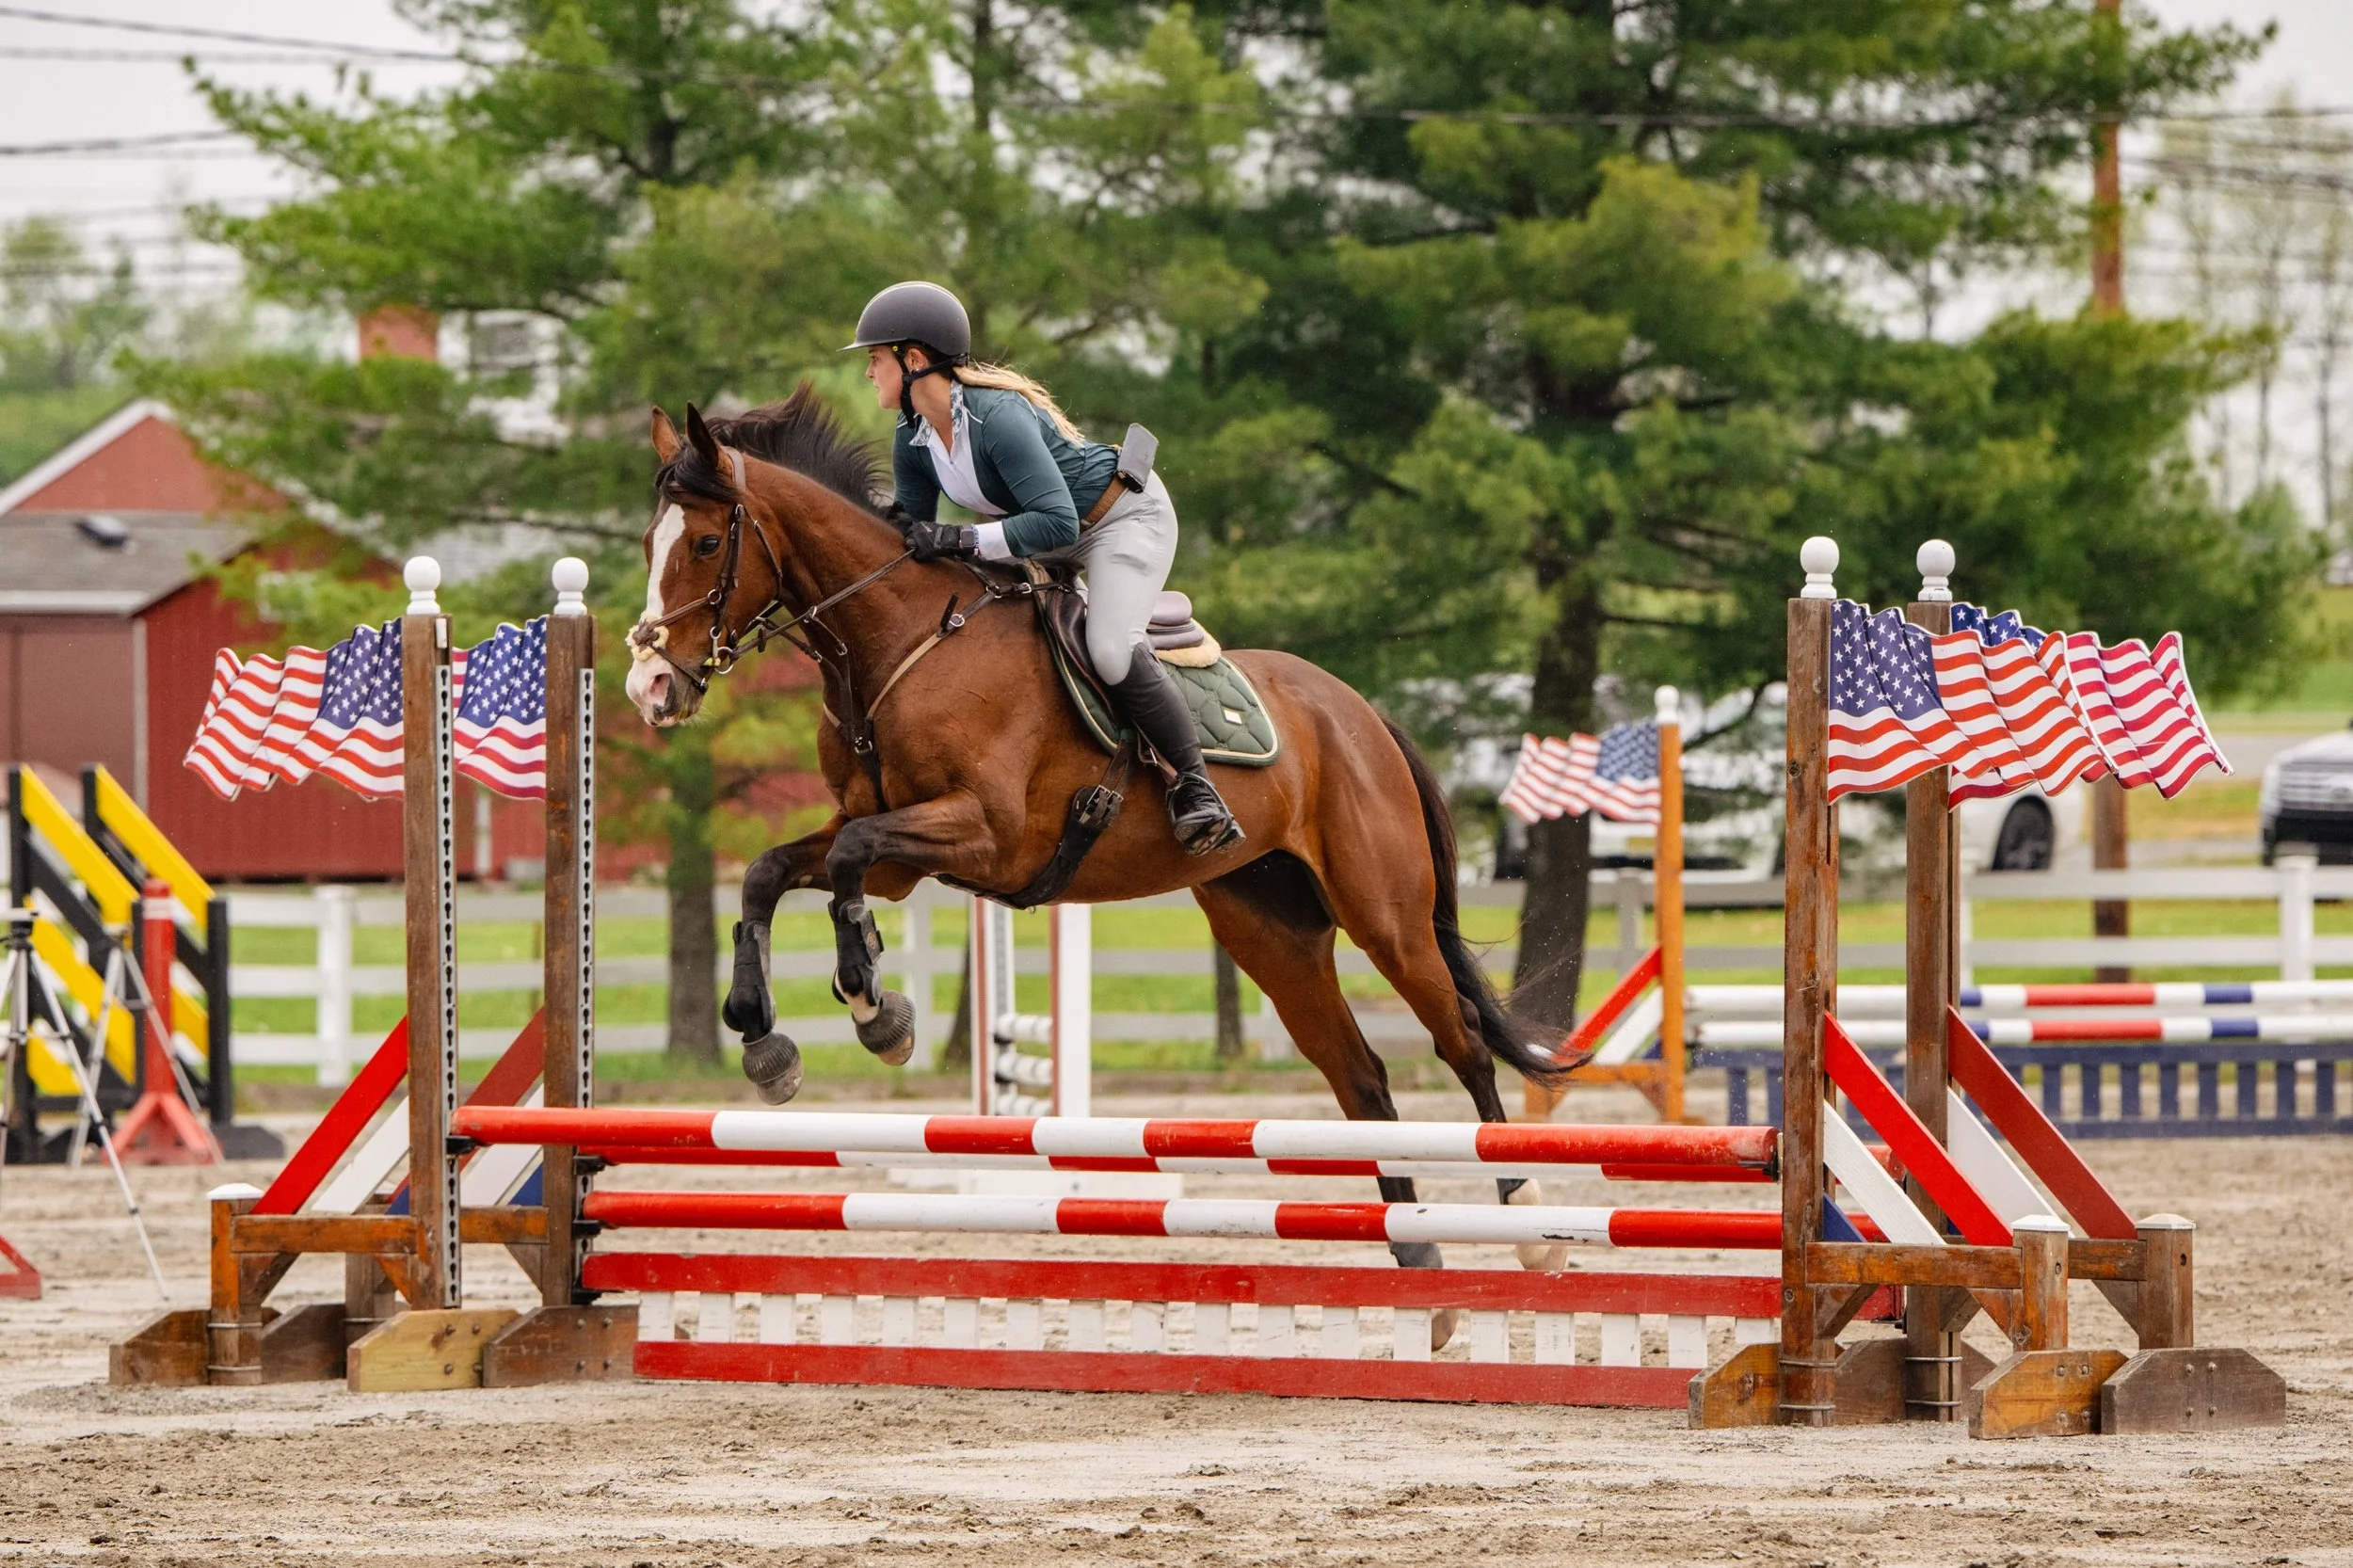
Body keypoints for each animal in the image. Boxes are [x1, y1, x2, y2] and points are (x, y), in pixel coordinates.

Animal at [622, 389, 1578, 1308]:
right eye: (646, 541)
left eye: (705, 542)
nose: (651, 686)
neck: (901, 641)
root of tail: (1359, 710)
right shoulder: (899, 856)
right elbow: (771, 873)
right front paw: (764, 1040)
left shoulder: (985, 834)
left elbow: (849, 862)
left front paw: (874, 1010)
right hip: (1271, 929)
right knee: (1362, 1078)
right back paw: (1419, 1259)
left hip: (1386, 917)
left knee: (1461, 1042)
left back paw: (1528, 1222)